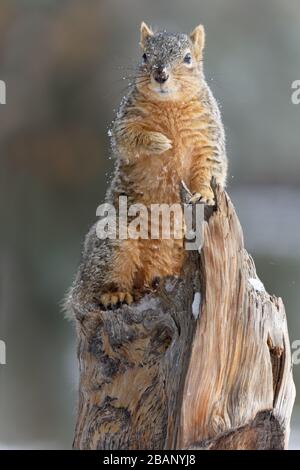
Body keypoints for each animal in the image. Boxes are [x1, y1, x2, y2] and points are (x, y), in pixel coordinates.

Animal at [68, 22, 227, 310]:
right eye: (144, 56)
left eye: (188, 58)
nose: (160, 75)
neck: (170, 105)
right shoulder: (124, 122)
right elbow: (127, 140)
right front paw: (159, 142)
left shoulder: (208, 137)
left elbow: (210, 167)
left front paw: (203, 193)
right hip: (115, 241)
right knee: (101, 285)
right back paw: (114, 294)